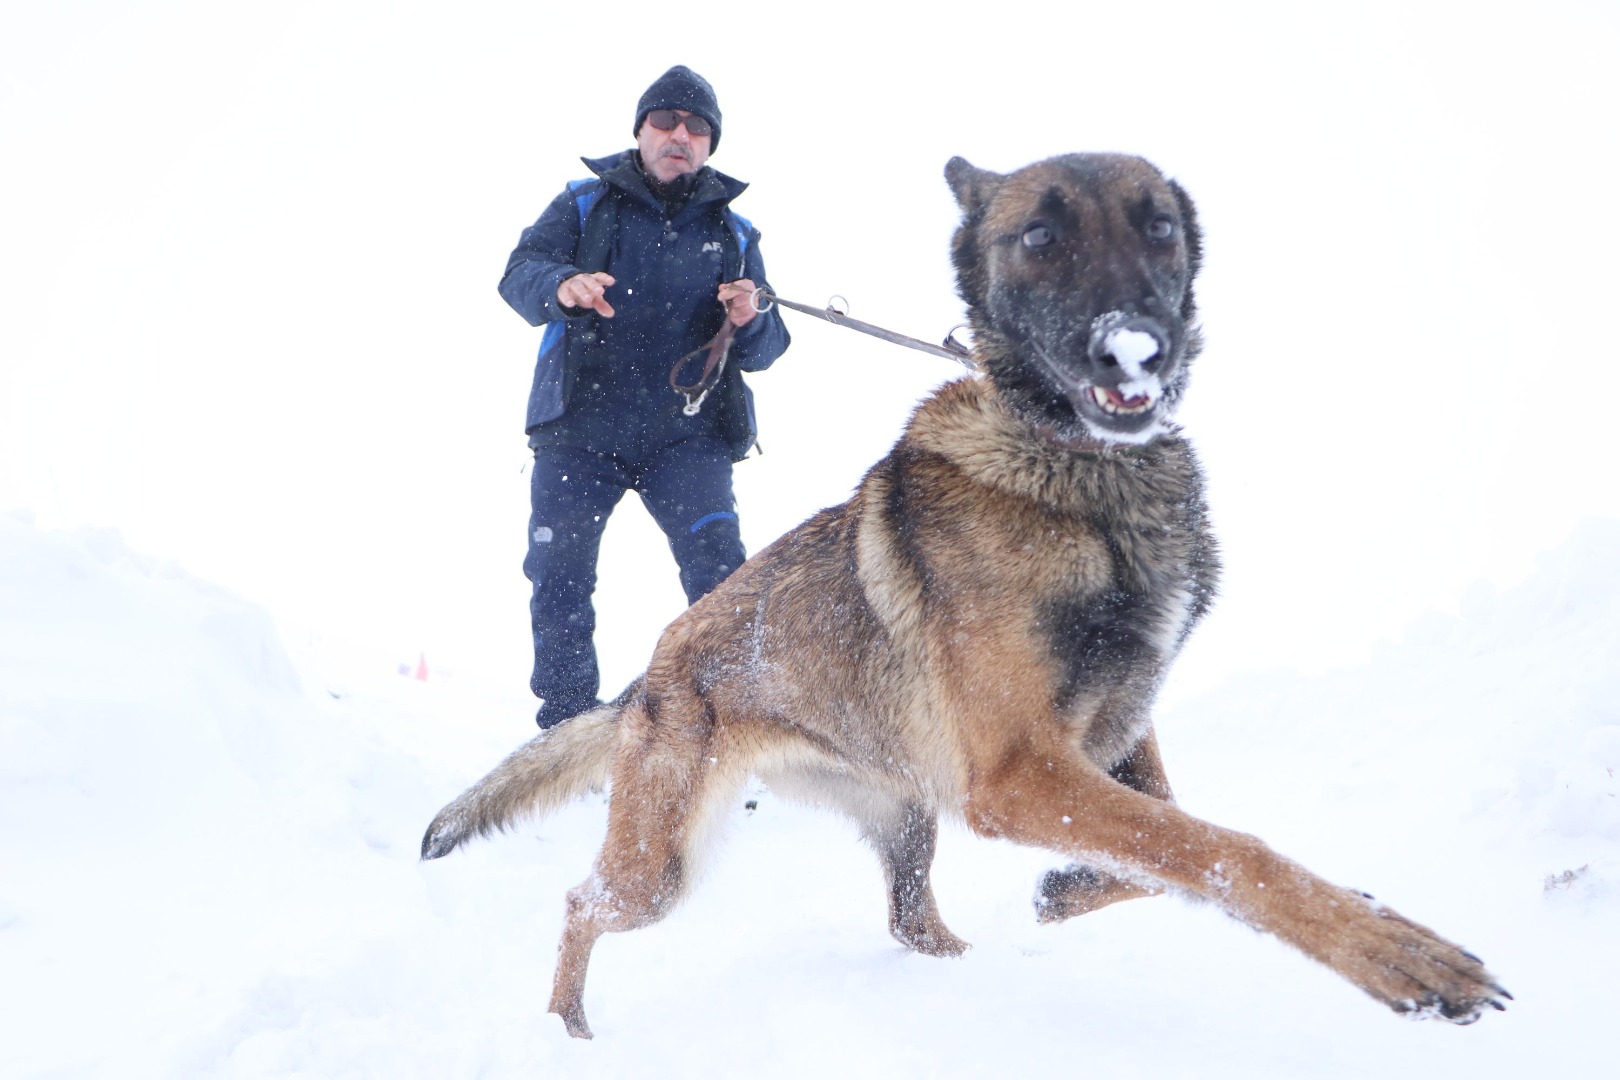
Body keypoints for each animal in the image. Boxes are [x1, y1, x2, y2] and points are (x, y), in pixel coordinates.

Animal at [421, 152, 1503, 1036]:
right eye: (1039, 237)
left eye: (1158, 224)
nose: (1132, 343)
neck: (1077, 472)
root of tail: (648, 677)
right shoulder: (1022, 772)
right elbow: (1229, 852)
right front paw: (1402, 954)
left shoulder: (1104, 740)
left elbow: (1167, 846)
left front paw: (1063, 890)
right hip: (661, 868)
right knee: (584, 905)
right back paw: (566, 1029)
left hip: (907, 816)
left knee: (913, 922)